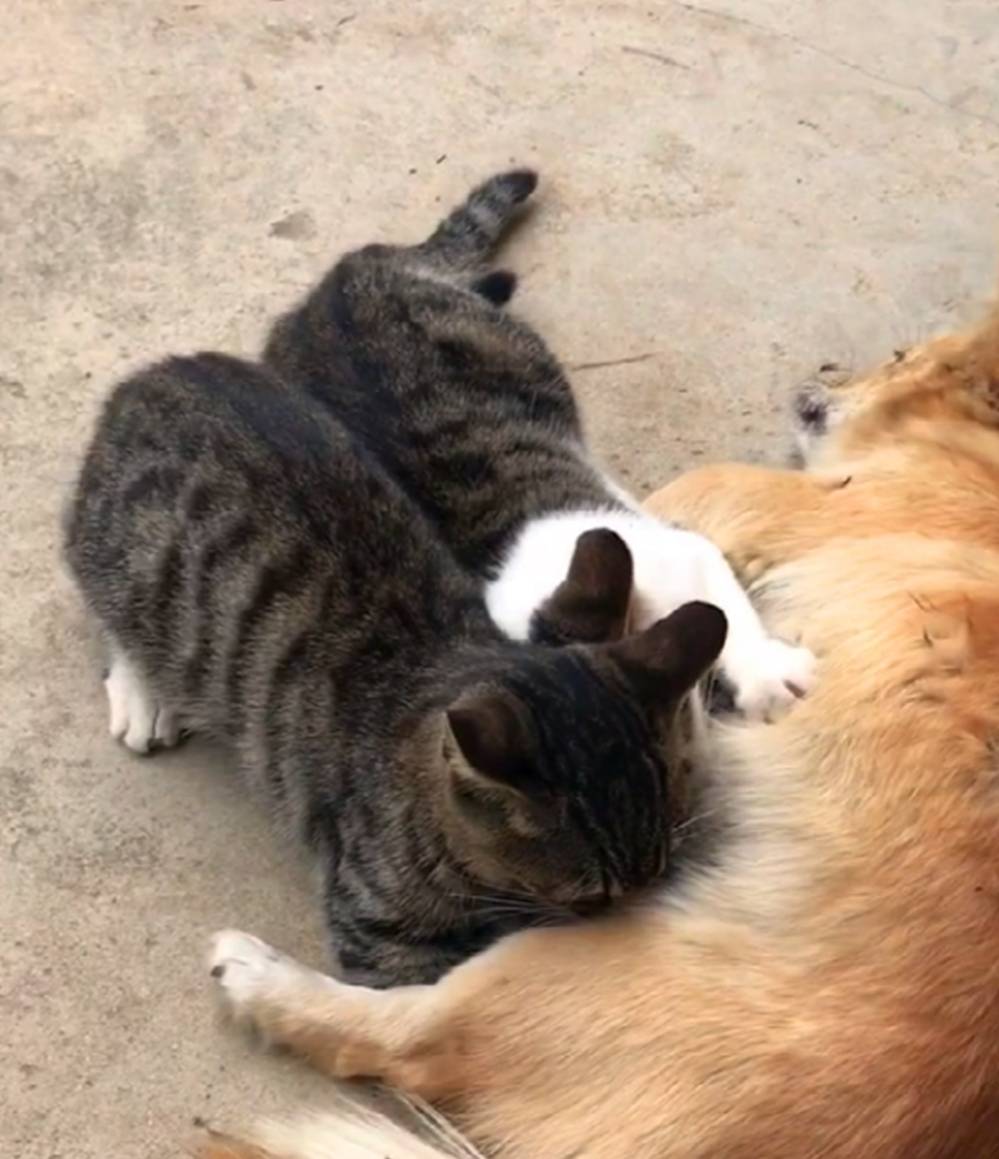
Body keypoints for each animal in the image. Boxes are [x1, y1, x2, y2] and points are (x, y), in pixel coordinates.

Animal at [64, 354, 727, 987]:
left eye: (660, 874)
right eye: (593, 899)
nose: (628, 947)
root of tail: (150, 378)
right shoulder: (381, 933)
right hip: (126, 569)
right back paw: (144, 691)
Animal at [199, 303, 999, 1154]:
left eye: (898, 355)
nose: (817, 382)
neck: (968, 457)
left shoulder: (781, 500)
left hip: (551, 964)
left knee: (402, 1039)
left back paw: (259, 977)